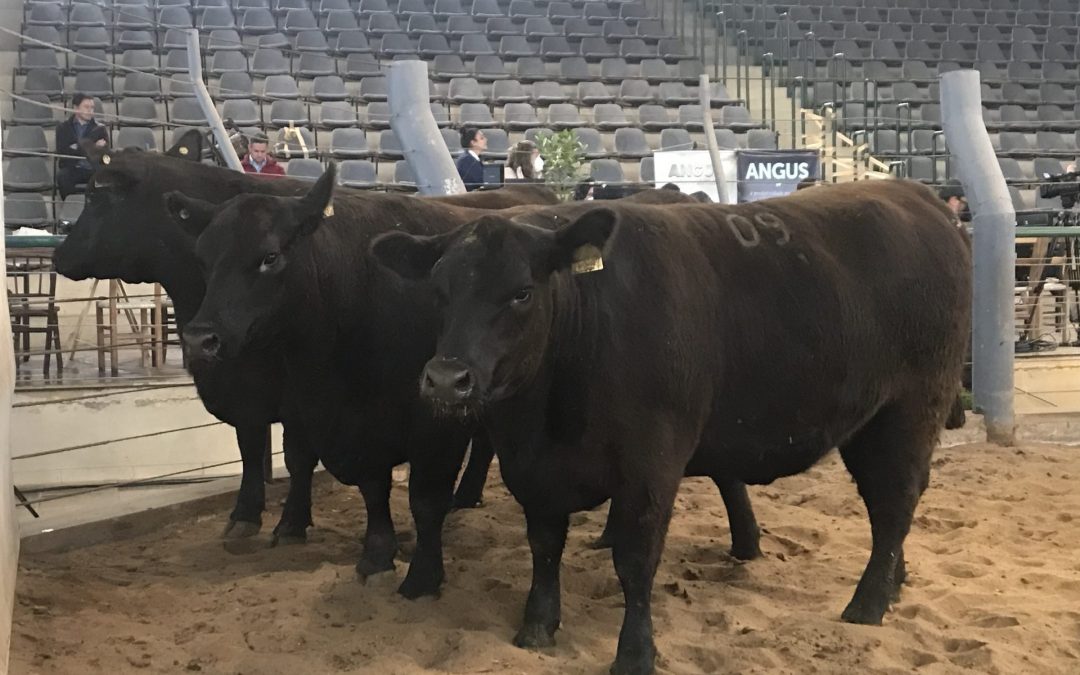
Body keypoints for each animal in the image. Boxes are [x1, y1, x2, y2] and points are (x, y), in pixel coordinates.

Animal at [49, 134, 552, 544]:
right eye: (203, 255)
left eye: (97, 197)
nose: (60, 256)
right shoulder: (248, 392)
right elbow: (250, 448)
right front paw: (246, 515)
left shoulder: (295, 397)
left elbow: (295, 457)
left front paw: (290, 521)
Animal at [371, 179, 972, 673]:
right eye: (438, 292)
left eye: (521, 291)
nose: (446, 380)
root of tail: (914, 195)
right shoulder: (533, 469)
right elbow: (544, 545)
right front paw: (536, 627)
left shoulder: (650, 465)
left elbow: (635, 561)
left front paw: (634, 655)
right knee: (891, 503)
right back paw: (894, 584)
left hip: (911, 407)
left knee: (895, 501)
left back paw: (867, 605)